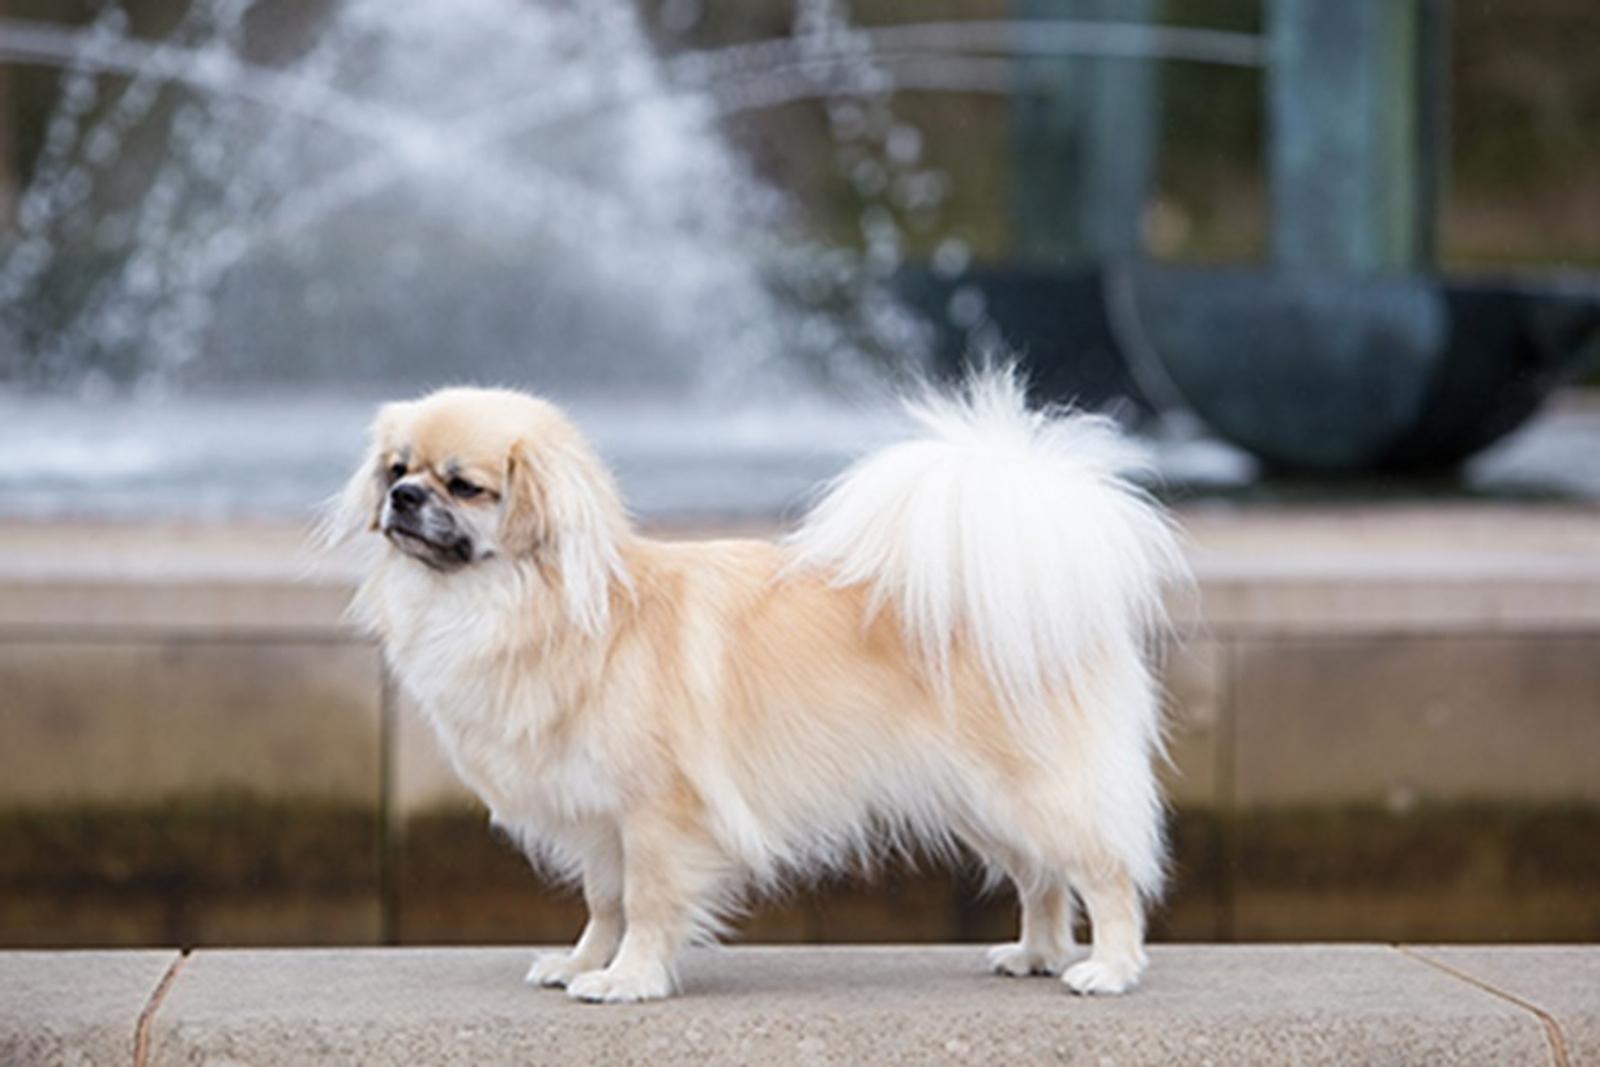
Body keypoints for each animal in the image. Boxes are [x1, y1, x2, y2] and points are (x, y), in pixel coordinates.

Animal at [321, 367, 1190, 1004]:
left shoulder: (655, 817)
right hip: (984, 802)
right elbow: (605, 904)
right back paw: (1036, 953)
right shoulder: (602, 822)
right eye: (396, 470)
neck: (530, 606)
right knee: (1042, 877)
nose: (403, 497)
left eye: (463, 486)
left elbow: (648, 905)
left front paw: (628, 980)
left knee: (1106, 872)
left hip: (1033, 789)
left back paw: (1109, 969)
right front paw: (582, 963)